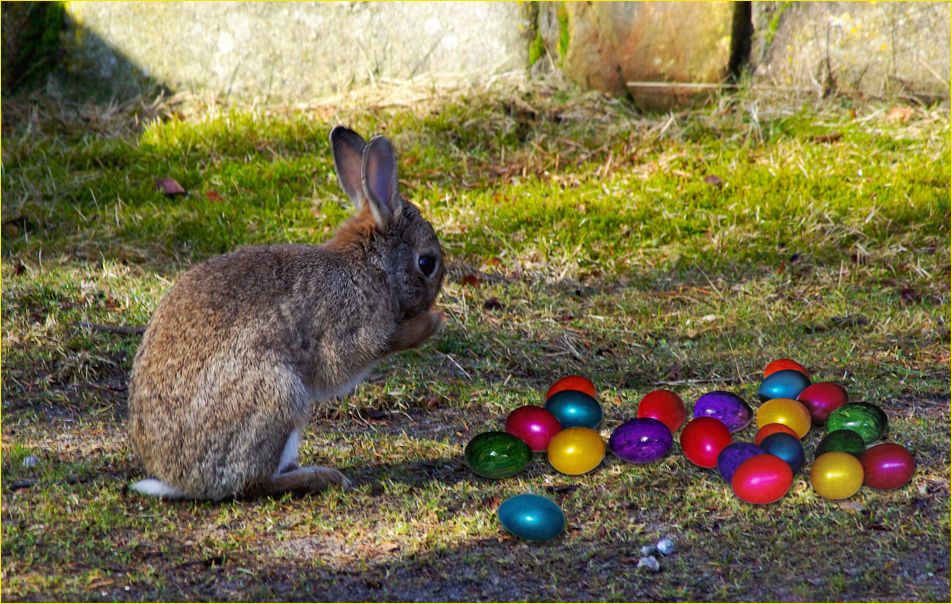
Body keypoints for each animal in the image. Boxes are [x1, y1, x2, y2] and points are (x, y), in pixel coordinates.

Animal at [125, 127, 446, 500]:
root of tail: (176, 480)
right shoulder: (347, 326)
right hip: (278, 393)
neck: (371, 267)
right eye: (427, 263)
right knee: (252, 483)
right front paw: (431, 323)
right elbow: (361, 352)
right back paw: (322, 477)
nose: (431, 301)